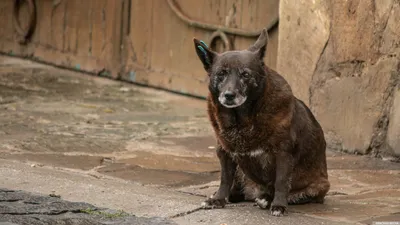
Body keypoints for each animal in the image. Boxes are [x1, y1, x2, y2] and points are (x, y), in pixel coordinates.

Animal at [192, 28, 330, 216]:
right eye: (221, 74)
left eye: (245, 74)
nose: (228, 95)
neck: (242, 121)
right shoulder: (225, 152)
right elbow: (224, 179)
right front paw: (218, 199)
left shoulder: (283, 153)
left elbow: (281, 182)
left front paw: (278, 205)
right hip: (241, 173)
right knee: (237, 189)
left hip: (318, 186)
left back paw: (269, 200)